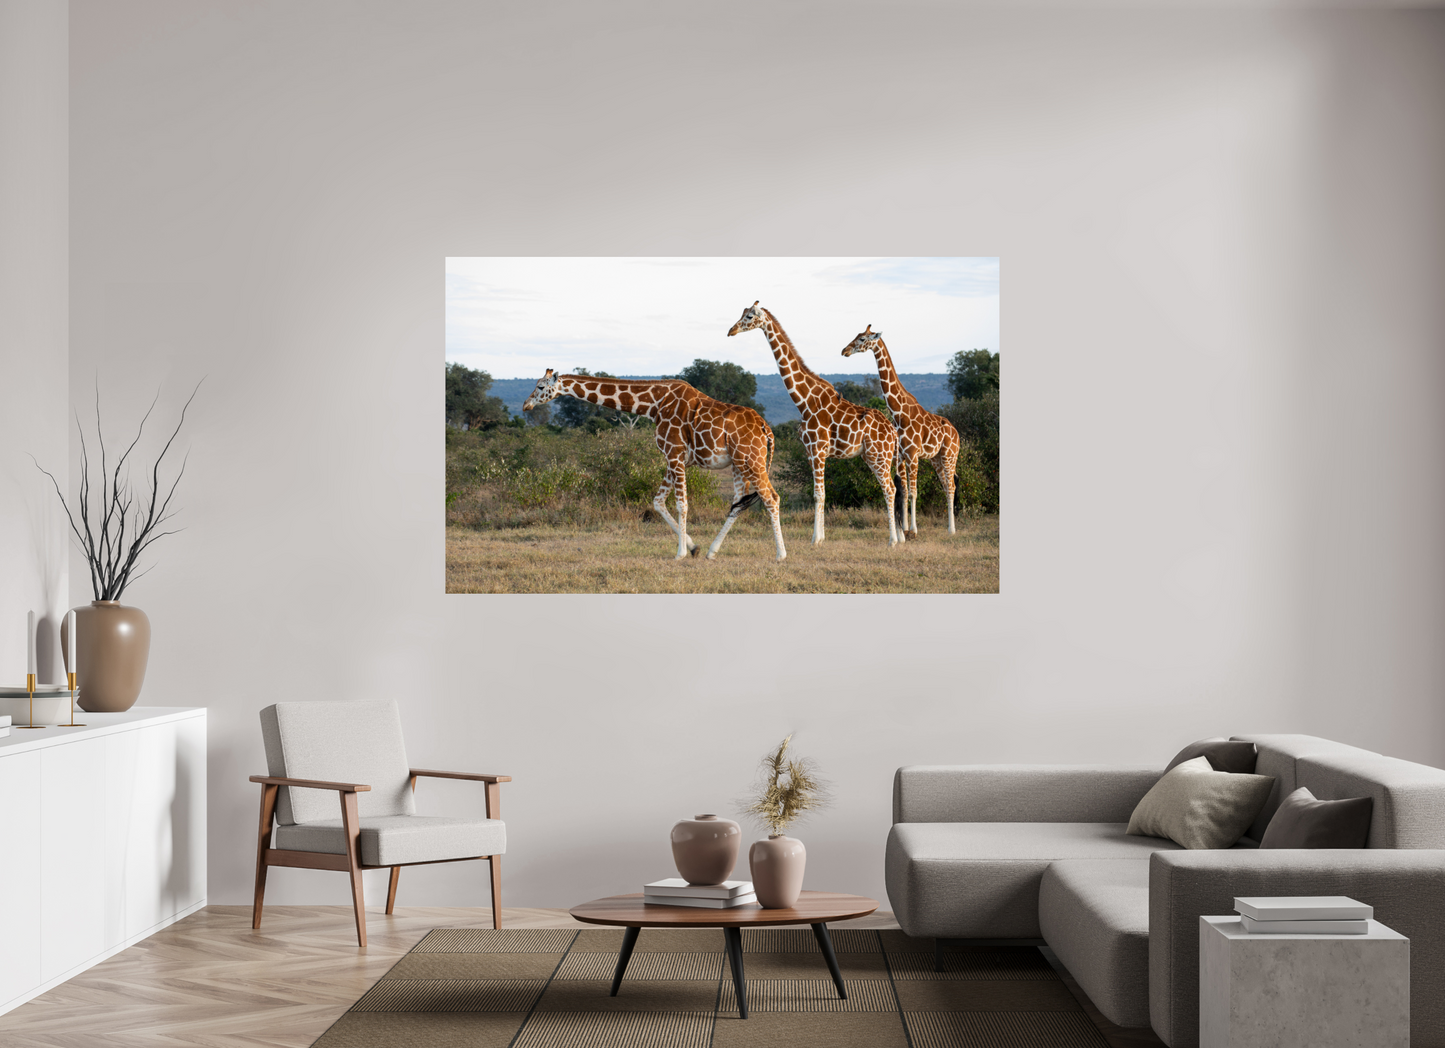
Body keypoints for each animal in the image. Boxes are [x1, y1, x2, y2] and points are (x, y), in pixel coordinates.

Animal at [522, 371, 786, 561]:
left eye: (541, 386)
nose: (526, 405)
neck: (653, 404)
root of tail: (766, 429)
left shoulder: (674, 454)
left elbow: (682, 505)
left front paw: (680, 554)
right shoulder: (673, 459)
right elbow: (658, 502)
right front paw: (693, 548)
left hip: (751, 459)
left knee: (771, 497)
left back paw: (781, 555)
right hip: (738, 463)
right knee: (738, 503)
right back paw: (712, 552)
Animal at [728, 302, 899, 547]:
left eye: (750, 316)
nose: (731, 330)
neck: (804, 400)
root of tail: (893, 431)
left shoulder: (818, 449)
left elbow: (819, 494)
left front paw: (815, 539)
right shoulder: (810, 451)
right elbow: (820, 493)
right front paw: (821, 537)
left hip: (880, 455)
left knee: (890, 488)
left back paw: (893, 540)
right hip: (872, 456)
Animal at [842, 326, 962, 535]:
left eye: (862, 339)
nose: (844, 351)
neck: (899, 413)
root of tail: (957, 434)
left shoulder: (913, 454)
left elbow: (913, 492)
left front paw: (913, 530)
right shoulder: (900, 455)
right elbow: (904, 491)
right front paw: (904, 529)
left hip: (949, 455)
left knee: (952, 486)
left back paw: (951, 529)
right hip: (937, 459)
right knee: (947, 486)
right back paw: (949, 527)